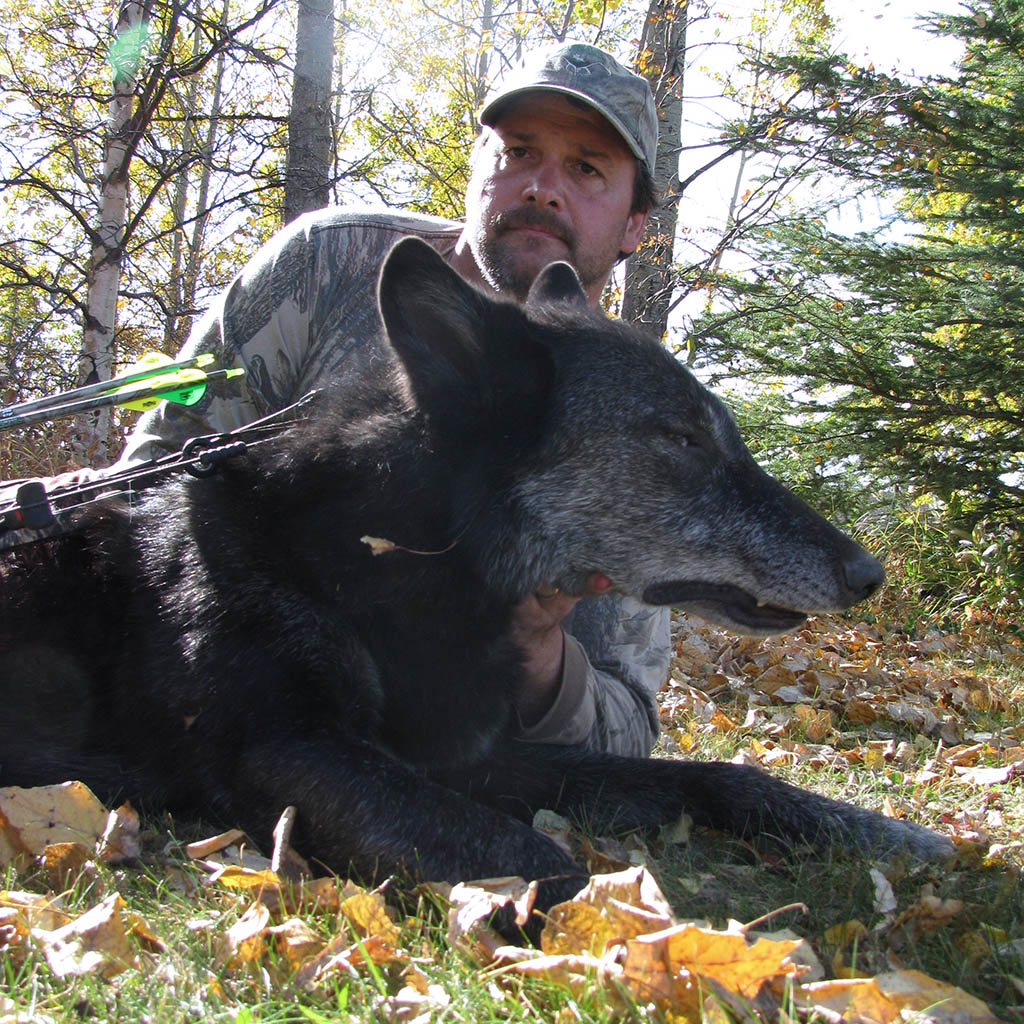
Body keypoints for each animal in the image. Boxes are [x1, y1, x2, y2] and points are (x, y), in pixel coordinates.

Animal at [0, 237, 951, 914]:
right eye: (681, 439)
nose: (868, 573)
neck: (391, 560)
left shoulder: (478, 757)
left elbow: (719, 777)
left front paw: (885, 832)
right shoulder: (287, 749)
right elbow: (543, 864)